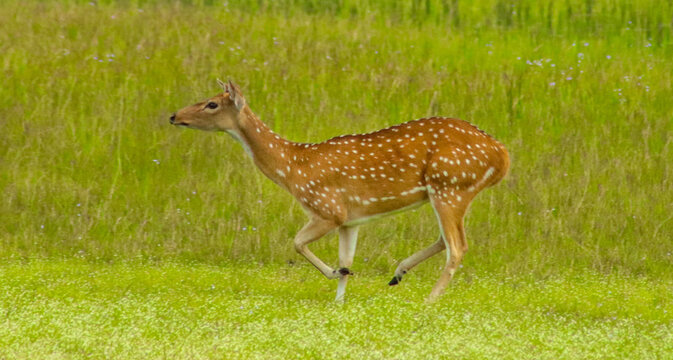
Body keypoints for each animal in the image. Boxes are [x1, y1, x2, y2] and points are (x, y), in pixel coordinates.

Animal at [171, 80, 506, 302]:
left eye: (212, 104)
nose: (174, 116)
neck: (293, 168)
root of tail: (502, 155)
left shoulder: (327, 208)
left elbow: (296, 242)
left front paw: (335, 274)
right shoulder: (351, 219)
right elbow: (348, 257)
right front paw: (340, 295)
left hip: (450, 185)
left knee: (457, 246)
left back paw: (429, 300)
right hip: (451, 192)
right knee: (445, 239)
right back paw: (397, 274)